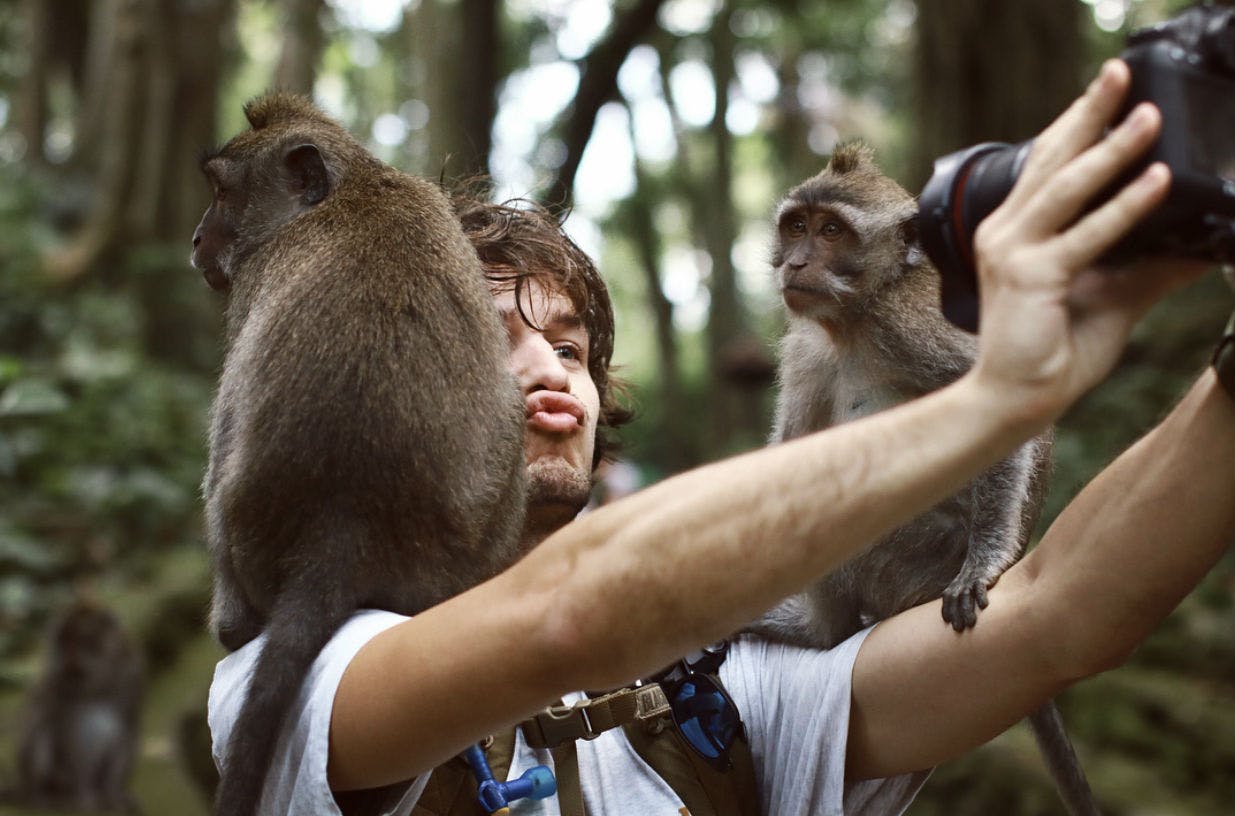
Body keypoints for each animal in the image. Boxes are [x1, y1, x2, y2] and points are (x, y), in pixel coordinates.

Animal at [15, 599, 143, 813]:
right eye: (64, 641)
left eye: (81, 639)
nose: (68, 658)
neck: (99, 681)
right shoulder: (55, 679)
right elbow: (56, 726)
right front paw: (82, 797)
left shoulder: (132, 674)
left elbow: (126, 728)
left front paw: (114, 794)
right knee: (41, 729)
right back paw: (51, 796)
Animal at [191, 93, 526, 816]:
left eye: (222, 194)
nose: (197, 239)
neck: (350, 189)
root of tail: (345, 525)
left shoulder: (253, 281)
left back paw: (235, 627)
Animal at [751, 142, 1100, 816]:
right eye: (797, 226)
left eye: (832, 231)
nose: (798, 262)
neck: (856, 316)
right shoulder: (806, 348)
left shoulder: (907, 324)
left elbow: (1010, 400)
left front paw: (985, 563)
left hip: (915, 564)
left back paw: (820, 631)